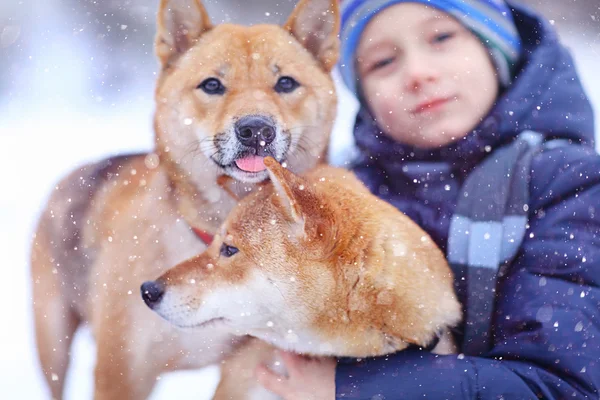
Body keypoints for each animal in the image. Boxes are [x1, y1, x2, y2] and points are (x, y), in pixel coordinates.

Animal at [31, 0, 342, 398]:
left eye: (285, 83)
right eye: (212, 85)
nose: (256, 129)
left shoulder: (250, 365)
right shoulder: (121, 372)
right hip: (53, 343)